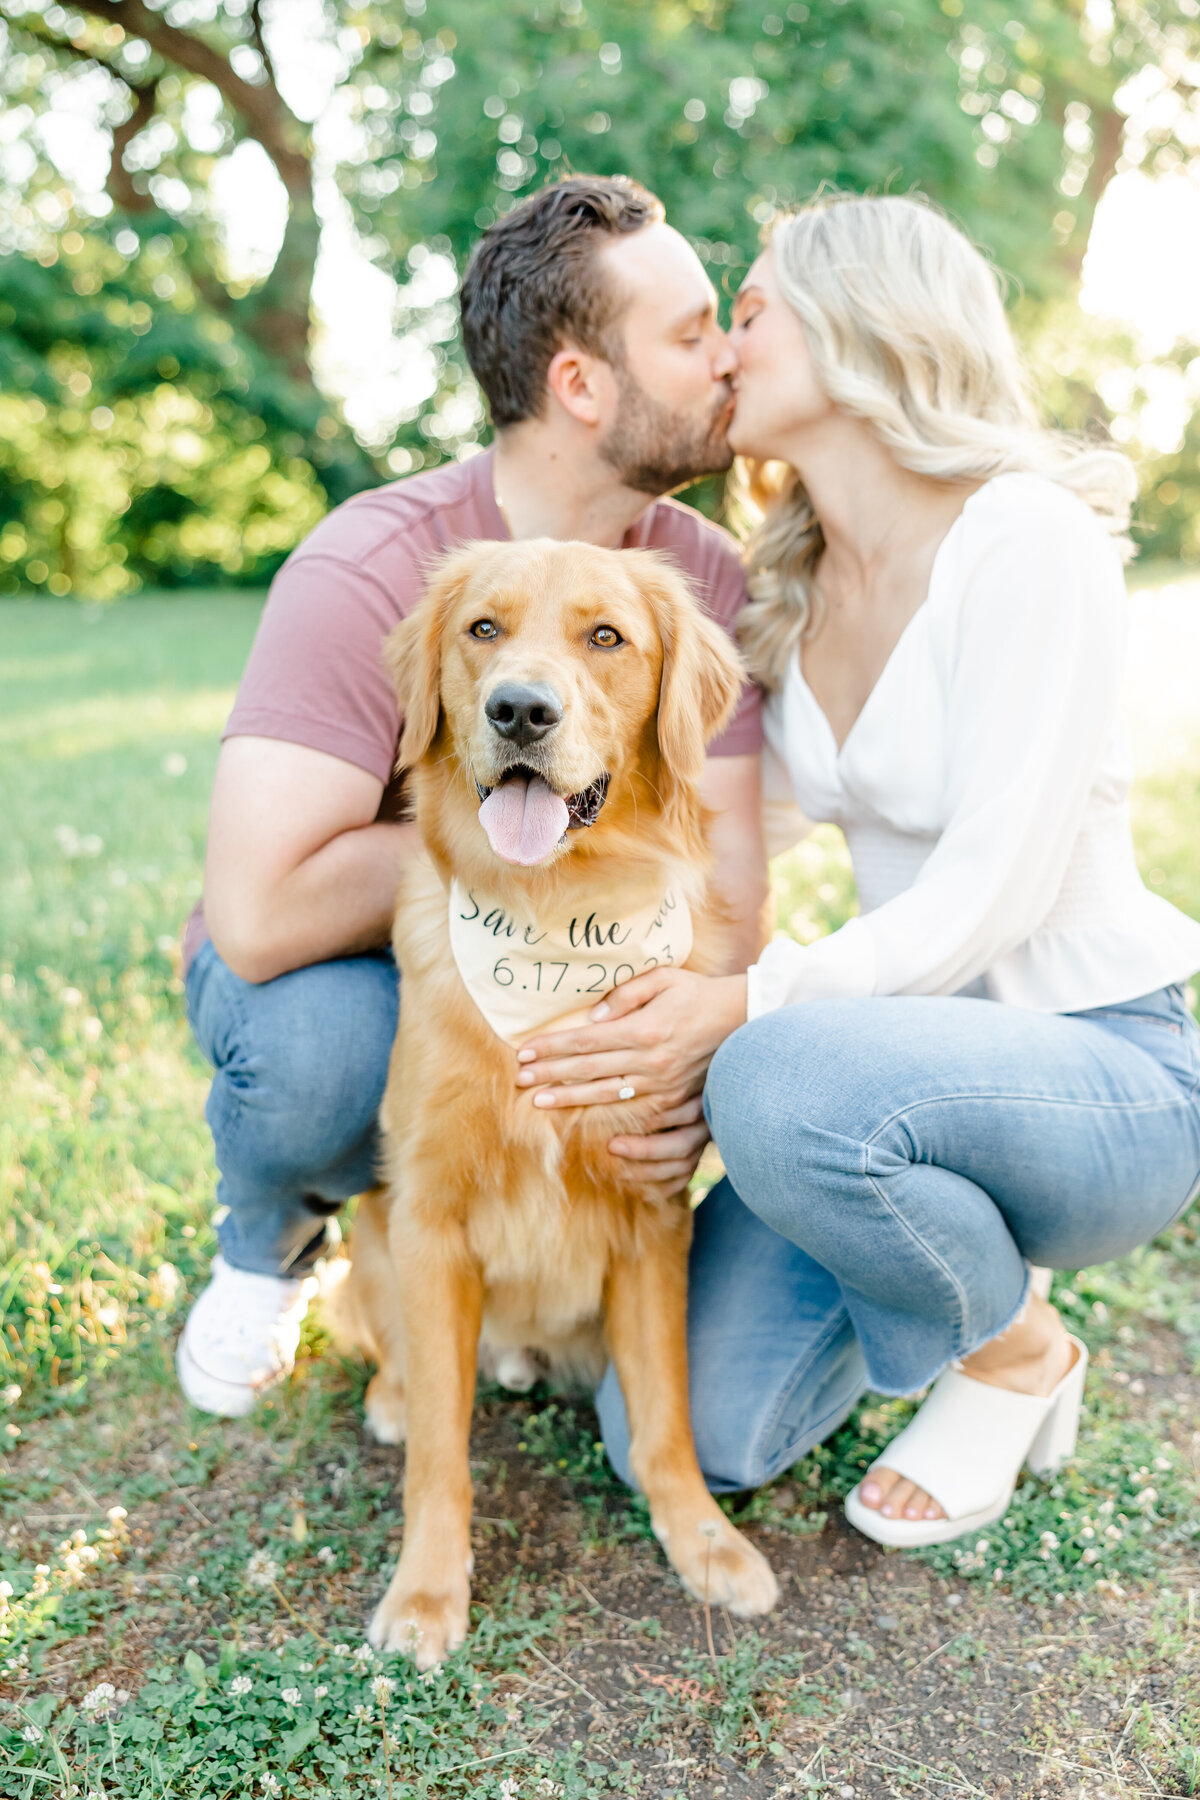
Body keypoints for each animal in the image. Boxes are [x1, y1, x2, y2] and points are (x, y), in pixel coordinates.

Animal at [336, 540, 780, 1663]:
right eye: (482, 630)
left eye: (607, 637)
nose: (520, 710)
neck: (551, 918)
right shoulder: (430, 1218)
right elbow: (440, 1455)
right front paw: (426, 1593)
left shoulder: (652, 1215)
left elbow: (666, 1420)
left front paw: (703, 1541)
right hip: (373, 1227)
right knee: (395, 1355)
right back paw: (392, 1395)